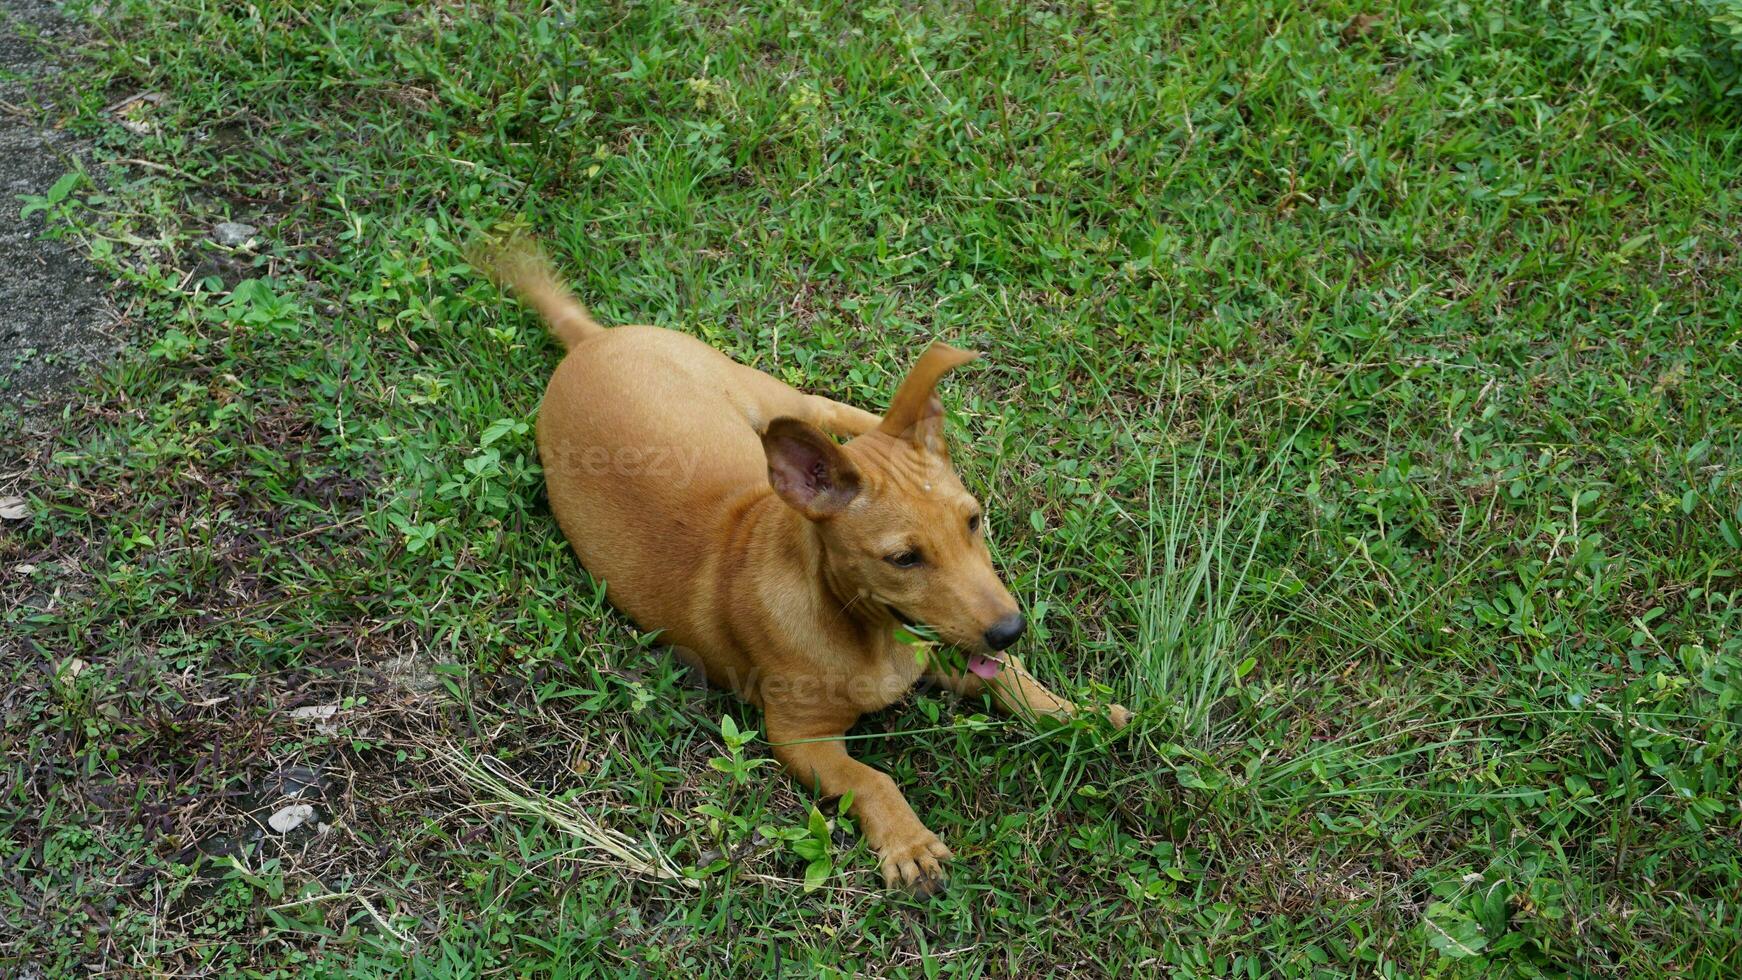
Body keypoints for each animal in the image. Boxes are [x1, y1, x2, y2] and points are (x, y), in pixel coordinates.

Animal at [477, 240, 1128, 898]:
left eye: (973, 521)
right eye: (903, 559)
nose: (1010, 630)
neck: (864, 632)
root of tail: (590, 342)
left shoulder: (944, 650)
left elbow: (1010, 679)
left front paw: (1078, 712)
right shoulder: (798, 735)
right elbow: (870, 778)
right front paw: (910, 844)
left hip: (765, 394)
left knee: (841, 412)